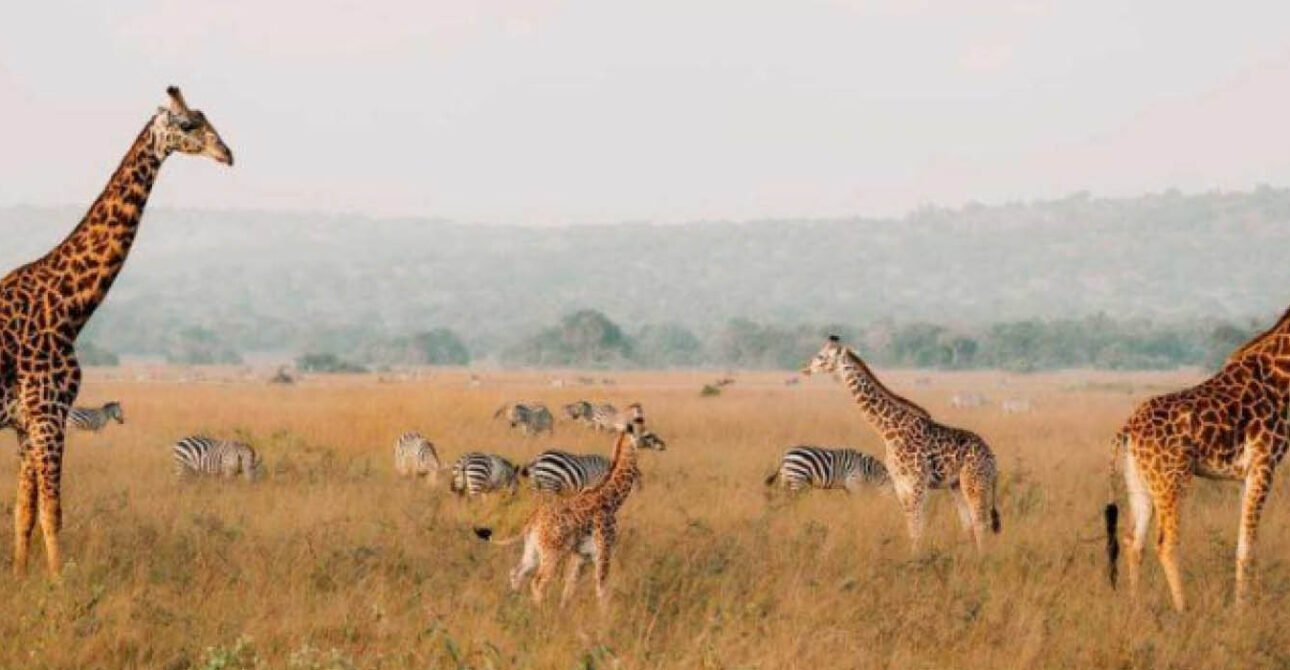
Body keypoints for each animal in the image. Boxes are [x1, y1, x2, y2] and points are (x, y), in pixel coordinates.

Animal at [0, 87, 232, 576]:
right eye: (189, 124)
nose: (228, 154)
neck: (69, 307)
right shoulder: (49, 414)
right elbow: (53, 511)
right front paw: (59, 584)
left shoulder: (27, 424)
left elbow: (23, 511)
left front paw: (21, 577)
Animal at [474, 404, 647, 608]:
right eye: (640, 420)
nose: (650, 439)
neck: (612, 497)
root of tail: (532, 520)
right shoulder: (604, 549)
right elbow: (601, 589)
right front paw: (605, 616)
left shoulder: (581, 555)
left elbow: (569, 587)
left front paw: (563, 610)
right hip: (552, 553)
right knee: (538, 582)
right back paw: (538, 612)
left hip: (533, 550)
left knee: (517, 573)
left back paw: (515, 604)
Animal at [802, 336, 1001, 551]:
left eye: (821, 356)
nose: (805, 369)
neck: (888, 432)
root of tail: (992, 458)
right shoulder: (900, 483)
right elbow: (911, 528)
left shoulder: (917, 483)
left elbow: (917, 528)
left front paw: (917, 558)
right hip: (956, 485)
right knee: (969, 525)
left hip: (975, 482)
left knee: (981, 524)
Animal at [1105, 304, 1290, 611]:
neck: (1281, 376)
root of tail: (1128, 429)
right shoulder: (1264, 464)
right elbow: (1248, 547)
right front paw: (1243, 611)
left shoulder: (1246, 475)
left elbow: (1241, 544)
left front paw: (1241, 605)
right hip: (1172, 481)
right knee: (1165, 544)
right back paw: (1183, 609)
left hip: (1139, 482)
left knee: (1133, 541)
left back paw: (1135, 607)